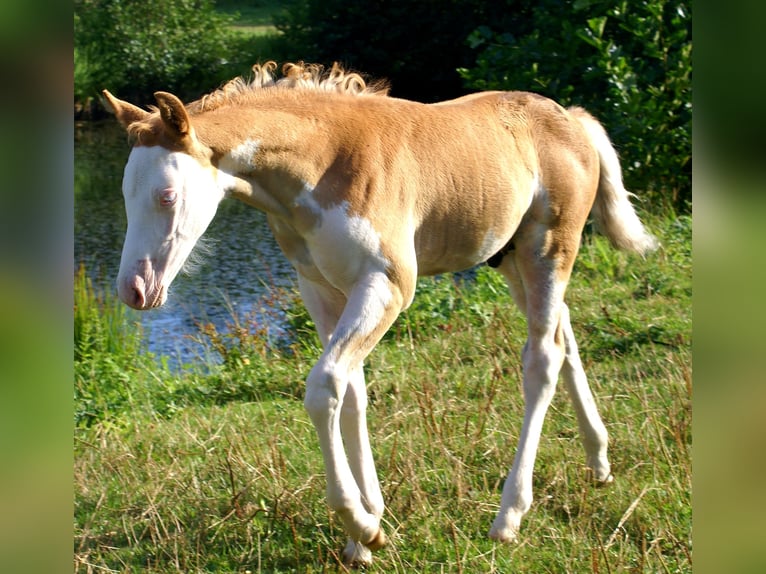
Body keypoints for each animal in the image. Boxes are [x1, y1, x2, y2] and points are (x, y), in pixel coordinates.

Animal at [103, 61, 656, 566]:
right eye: (124, 194)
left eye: (167, 195)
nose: (134, 290)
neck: (324, 163)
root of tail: (572, 119)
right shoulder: (322, 290)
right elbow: (352, 394)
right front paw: (365, 533)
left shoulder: (388, 286)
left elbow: (324, 387)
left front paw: (363, 525)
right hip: (511, 258)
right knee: (564, 338)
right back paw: (599, 461)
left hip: (549, 249)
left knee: (540, 360)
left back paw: (509, 516)